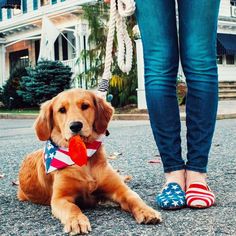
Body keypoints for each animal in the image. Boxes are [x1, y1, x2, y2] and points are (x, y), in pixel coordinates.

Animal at [17, 88, 161, 234]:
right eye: (62, 110)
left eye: (85, 106)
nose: (75, 126)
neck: (82, 156)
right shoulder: (60, 198)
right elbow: (72, 207)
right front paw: (77, 220)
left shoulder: (120, 189)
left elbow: (134, 197)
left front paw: (146, 210)